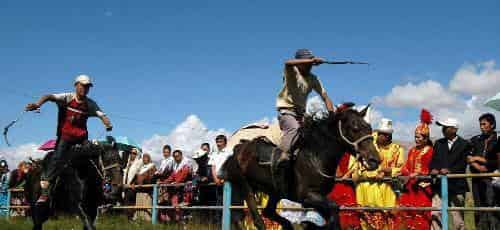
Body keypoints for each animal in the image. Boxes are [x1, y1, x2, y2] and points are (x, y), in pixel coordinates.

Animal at [222, 105, 378, 229]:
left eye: (369, 128)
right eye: (355, 128)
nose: (375, 159)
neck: (316, 156)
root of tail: (238, 148)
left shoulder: (319, 199)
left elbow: (331, 215)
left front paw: (308, 224)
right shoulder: (308, 196)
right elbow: (334, 210)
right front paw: (308, 224)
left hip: (274, 192)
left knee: (268, 212)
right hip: (244, 185)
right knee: (255, 218)